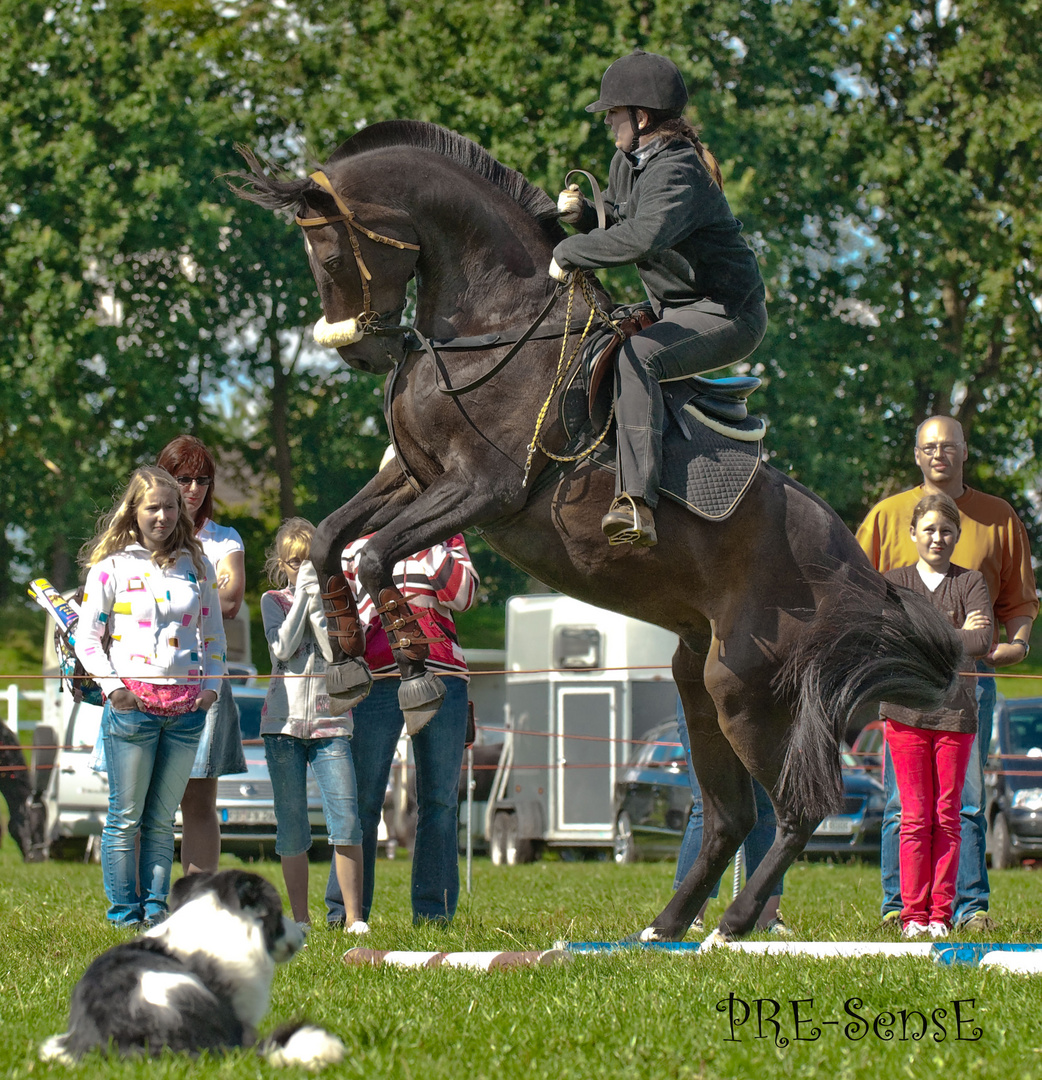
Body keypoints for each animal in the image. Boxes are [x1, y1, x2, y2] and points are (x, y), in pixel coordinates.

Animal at [229, 122, 958, 941]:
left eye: (327, 256)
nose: (363, 351)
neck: (490, 326)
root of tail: (861, 570)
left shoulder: (481, 490)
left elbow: (380, 556)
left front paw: (413, 673)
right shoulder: (416, 478)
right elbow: (332, 540)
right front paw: (351, 656)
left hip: (746, 686)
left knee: (800, 809)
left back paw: (730, 925)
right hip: (696, 679)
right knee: (731, 816)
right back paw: (664, 929)